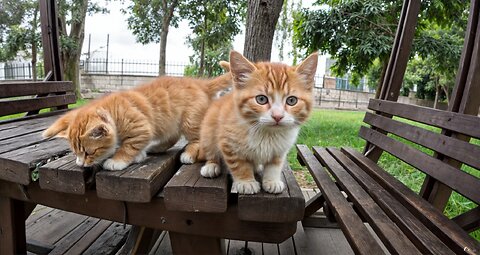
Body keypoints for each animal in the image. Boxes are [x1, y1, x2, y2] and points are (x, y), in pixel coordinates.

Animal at [44, 72, 232, 170]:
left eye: (89, 153)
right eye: (76, 153)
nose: (80, 164)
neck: (113, 110)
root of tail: (202, 84)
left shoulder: (142, 128)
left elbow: (129, 146)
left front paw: (117, 161)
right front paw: (139, 155)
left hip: (189, 121)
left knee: (196, 139)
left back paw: (189, 154)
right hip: (169, 122)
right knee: (172, 137)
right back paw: (156, 148)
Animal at [197, 50, 316, 194]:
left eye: (292, 100)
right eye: (261, 99)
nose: (277, 116)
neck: (267, 134)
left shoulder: (280, 149)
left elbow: (275, 165)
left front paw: (272, 181)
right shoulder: (228, 143)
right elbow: (238, 164)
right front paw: (246, 182)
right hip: (208, 131)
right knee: (210, 149)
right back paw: (211, 166)